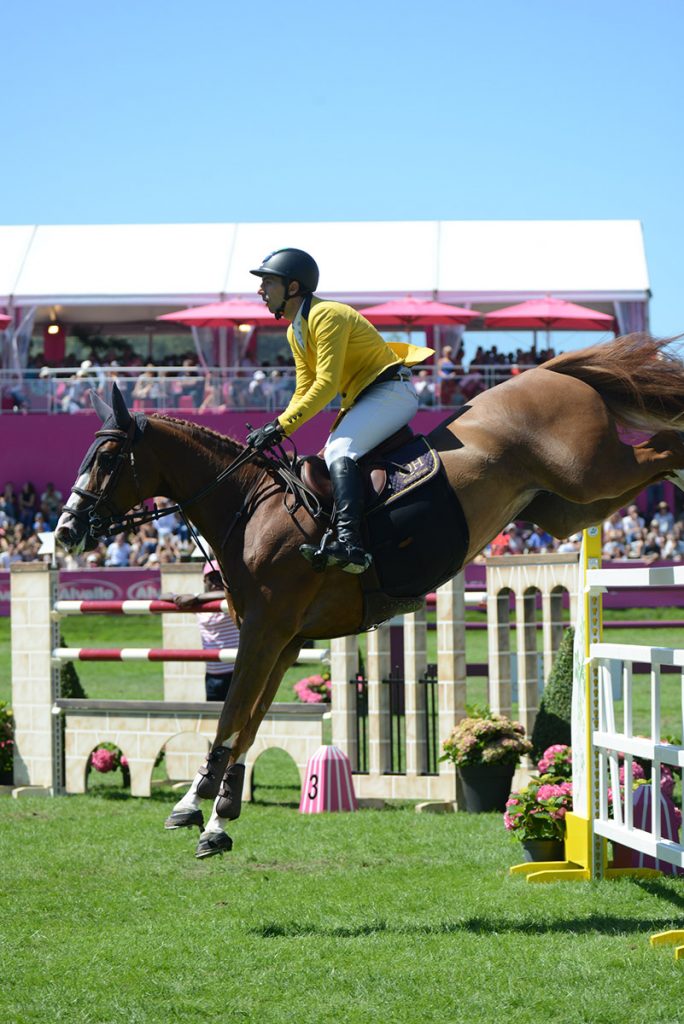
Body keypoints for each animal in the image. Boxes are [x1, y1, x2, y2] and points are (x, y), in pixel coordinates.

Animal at [54, 335, 684, 856]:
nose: (63, 531)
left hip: (590, 471)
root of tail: (549, 372)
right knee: (651, 461)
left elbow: (232, 714)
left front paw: (193, 802)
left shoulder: (265, 630)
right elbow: (250, 723)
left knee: (663, 448)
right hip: (566, 507)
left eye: (106, 458)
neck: (250, 507)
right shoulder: (285, 640)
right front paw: (220, 817)